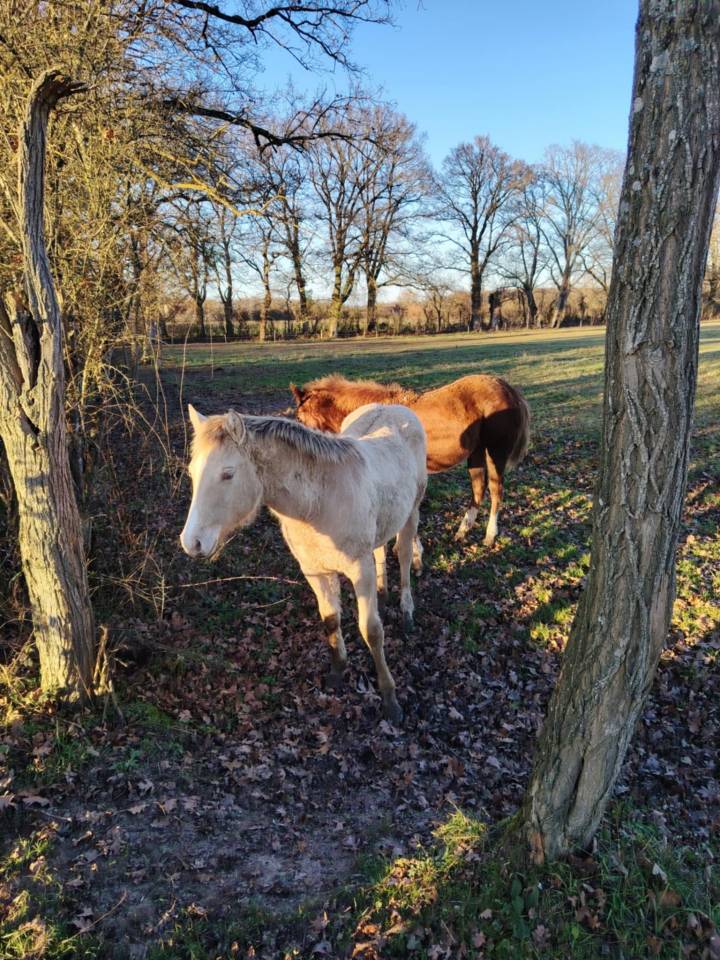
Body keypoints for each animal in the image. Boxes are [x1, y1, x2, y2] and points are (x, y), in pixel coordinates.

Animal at [180, 403, 427, 723]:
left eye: (228, 474)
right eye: (192, 472)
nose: (192, 542)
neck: (318, 503)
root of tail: (395, 407)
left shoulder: (360, 571)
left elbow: (371, 631)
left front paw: (390, 699)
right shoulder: (315, 572)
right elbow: (330, 620)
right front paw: (337, 672)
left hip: (412, 513)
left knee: (405, 554)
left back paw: (407, 611)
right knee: (381, 550)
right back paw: (384, 595)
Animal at [290, 373, 529, 546]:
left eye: (299, 418)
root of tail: (509, 389)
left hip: (495, 451)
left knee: (496, 489)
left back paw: (489, 536)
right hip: (476, 452)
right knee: (478, 487)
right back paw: (462, 532)